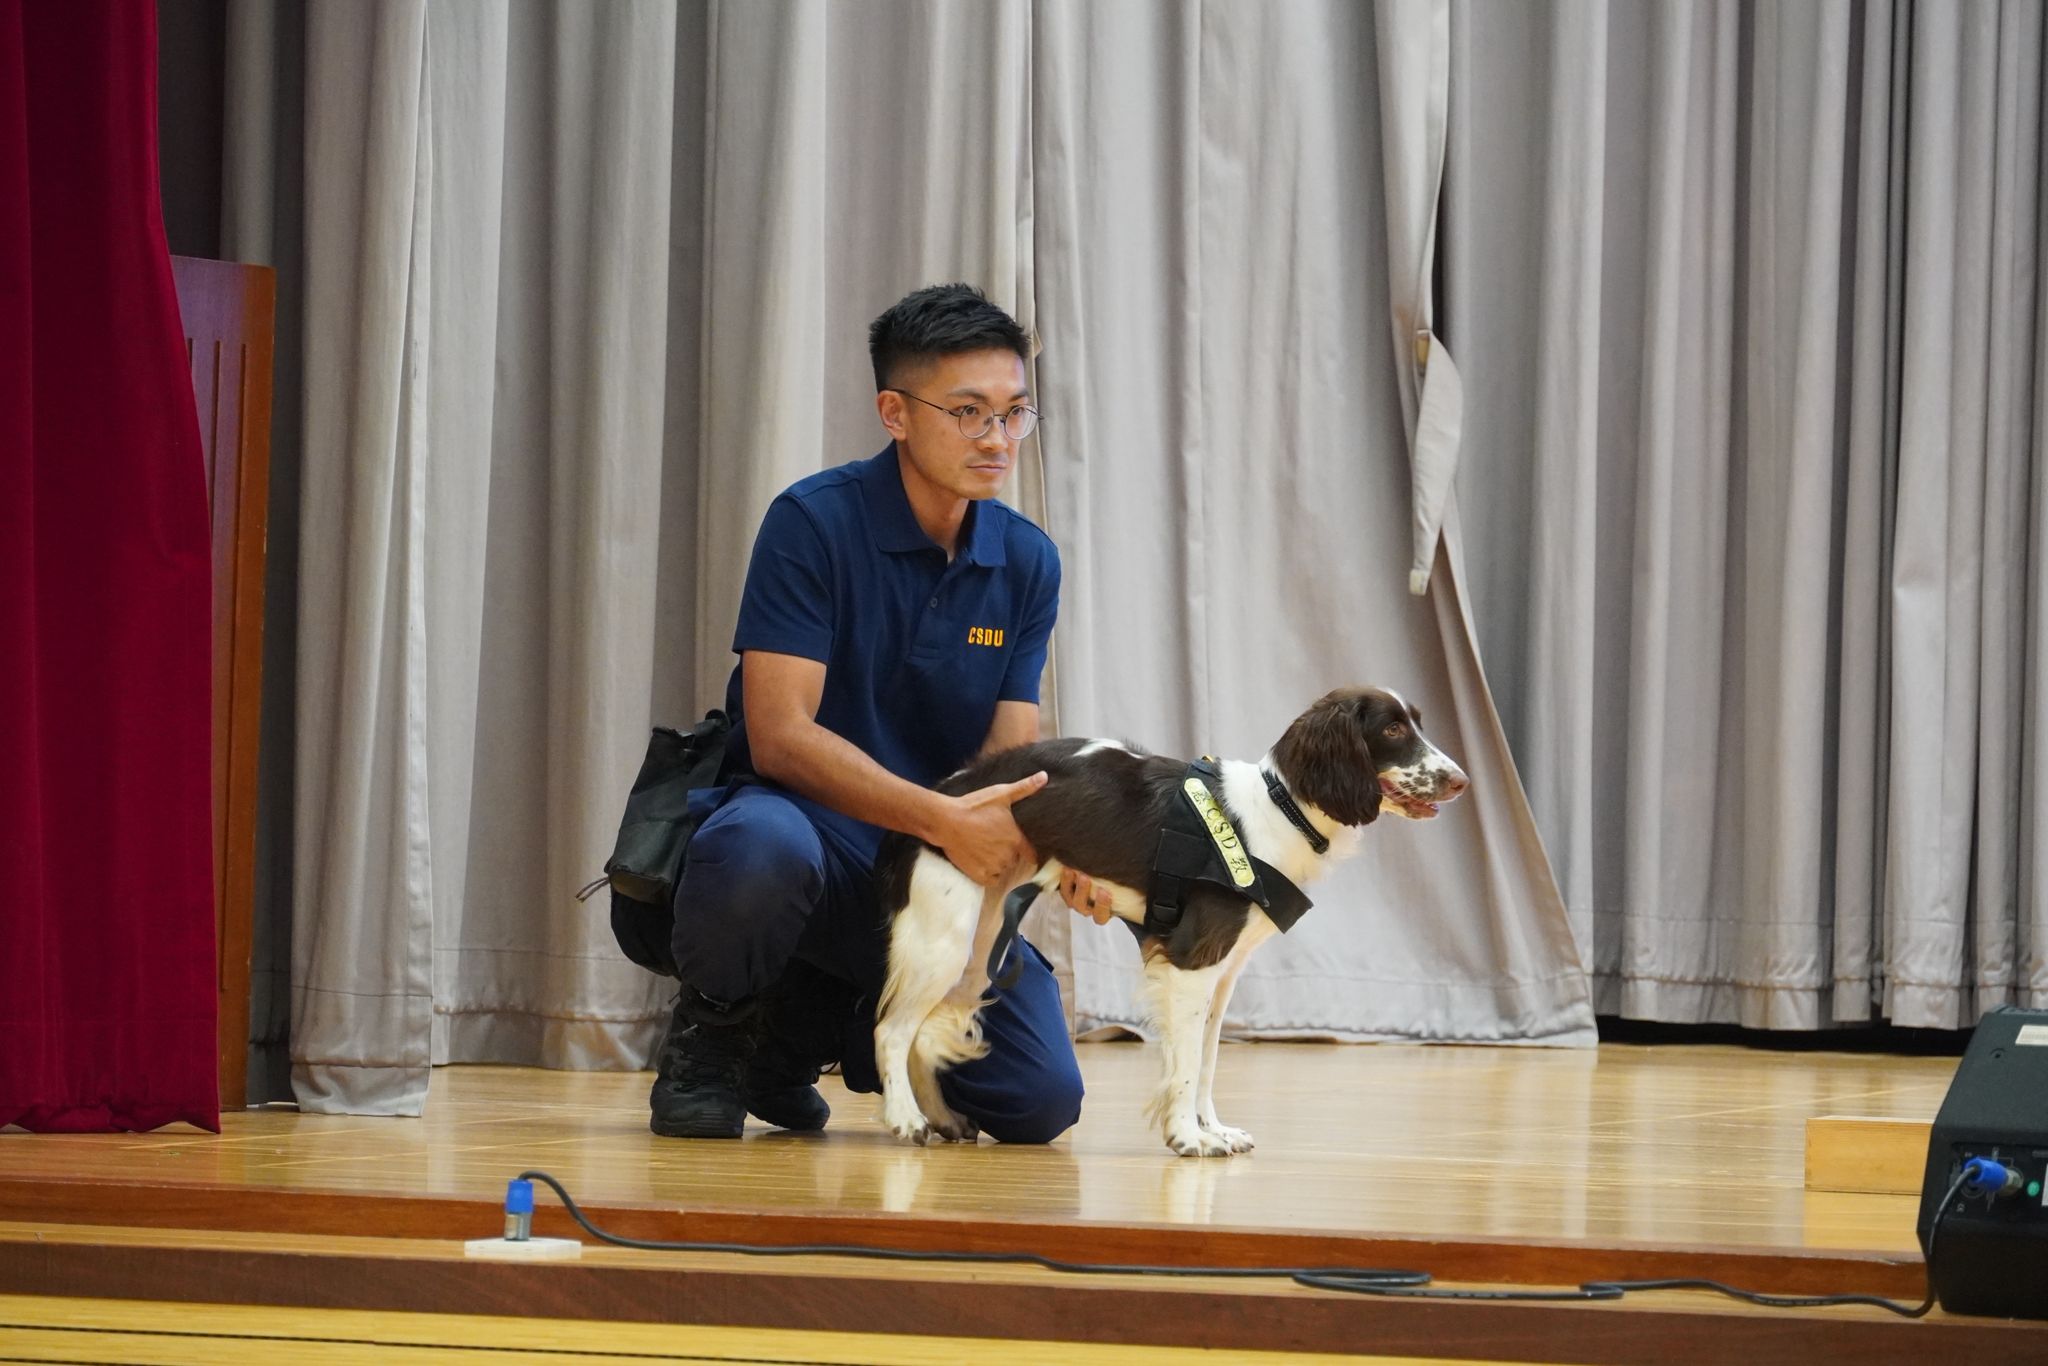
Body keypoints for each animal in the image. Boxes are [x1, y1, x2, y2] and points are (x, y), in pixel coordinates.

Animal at [871, 685, 1468, 1156]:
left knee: (921, 1033)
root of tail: (944, 792)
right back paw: (905, 1120)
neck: (1280, 809)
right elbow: (1183, 1065)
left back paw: (941, 1119)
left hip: (981, 941)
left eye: (1417, 722)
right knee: (892, 1029)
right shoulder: (1191, 963)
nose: (1462, 781)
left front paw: (1214, 1129)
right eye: (1392, 728)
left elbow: (1206, 1059)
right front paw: (1187, 1137)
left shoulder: (1224, 975)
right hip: (945, 937)